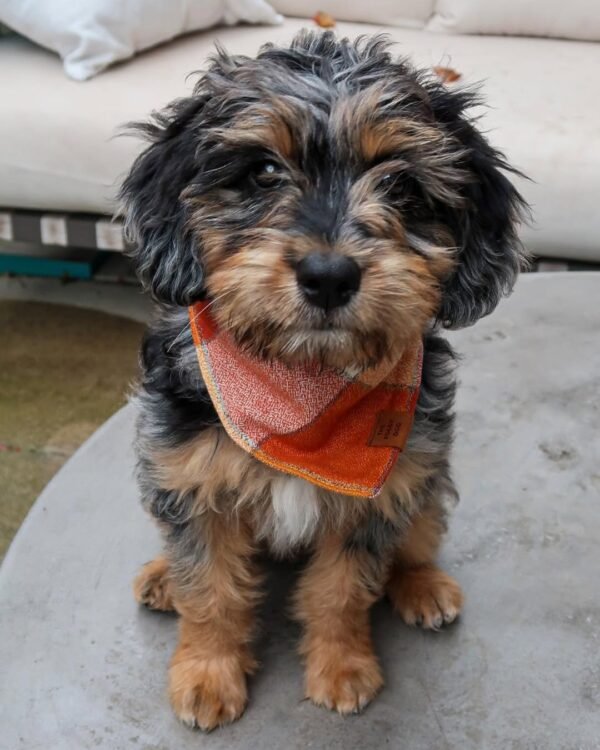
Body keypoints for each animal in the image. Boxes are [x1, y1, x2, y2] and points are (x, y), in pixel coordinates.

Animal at [120, 30, 524, 736]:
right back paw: (162, 575)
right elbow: (210, 589)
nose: (329, 275)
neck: (303, 382)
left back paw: (424, 585)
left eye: (400, 186)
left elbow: (343, 590)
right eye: (263, 172)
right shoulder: (187, 475)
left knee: (420, 534)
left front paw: (342, 668)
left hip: (424, 471)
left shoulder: (377, 498)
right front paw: (207, 673)